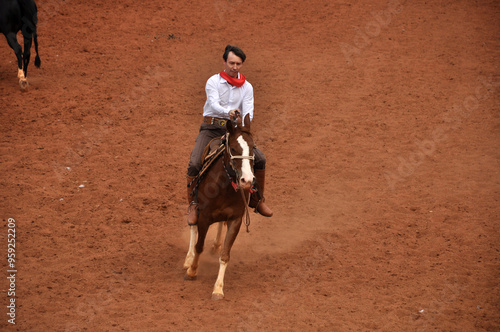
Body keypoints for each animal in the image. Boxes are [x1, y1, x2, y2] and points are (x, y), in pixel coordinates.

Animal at [183, 114, 254, 300]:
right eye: (234, 148)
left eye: (253, 148)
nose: (247, 180)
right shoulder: (204, 217)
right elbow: (199, 246)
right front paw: (192, 271)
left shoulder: (235, 219)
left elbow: (225, 256)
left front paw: (218, 289)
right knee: (192, 227)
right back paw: (188, 259)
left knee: (221, 225)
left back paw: (216, 245)